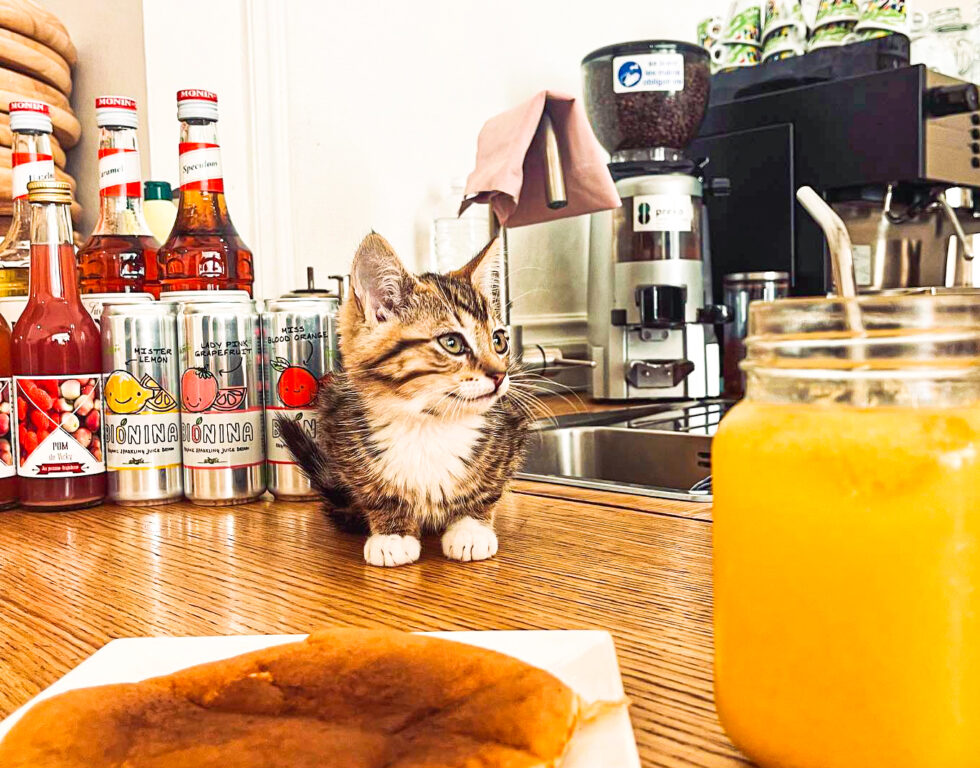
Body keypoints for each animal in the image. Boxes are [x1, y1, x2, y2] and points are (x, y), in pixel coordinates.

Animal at [278, 232, 528, 564]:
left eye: (499, 341)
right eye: (452, 343)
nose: (500, 375)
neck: (427, 422)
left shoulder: (511, 429)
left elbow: (489, 486)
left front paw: (471, 528)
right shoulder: (340, 428)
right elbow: (374, 491)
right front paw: (392, 533)